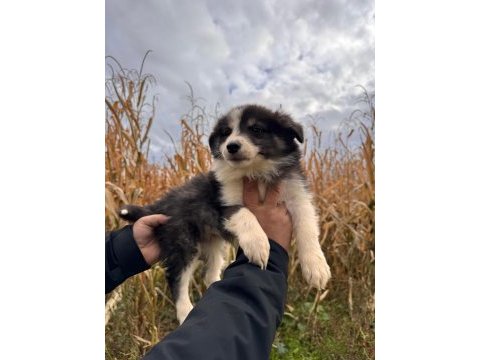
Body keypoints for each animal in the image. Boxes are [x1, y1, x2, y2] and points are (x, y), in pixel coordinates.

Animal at [119, 104, 330, 324]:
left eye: (257, 129)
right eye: (226, 133)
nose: (232, 146)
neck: (255, 172)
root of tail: (162, 204)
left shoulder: (298, 196)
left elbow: (307, 227)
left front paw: (316, 267)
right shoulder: (222, 202)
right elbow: (245, 213)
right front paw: (258, 244)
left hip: (212, 243)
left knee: (209, 274)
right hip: (183, 241)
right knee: (177, 278)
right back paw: (186, 311)